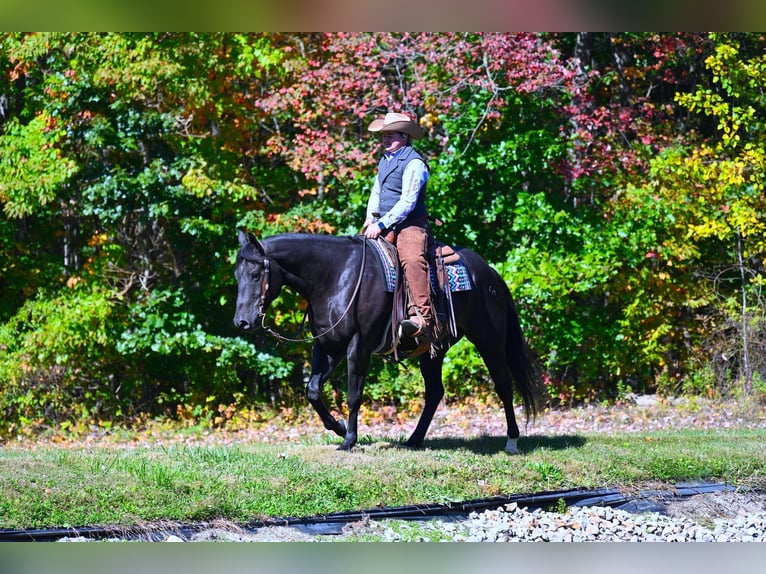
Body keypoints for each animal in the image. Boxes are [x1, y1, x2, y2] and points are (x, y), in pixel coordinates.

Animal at [237, 231, 544, 454]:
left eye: (255, 275)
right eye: (237, 276)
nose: (241, 322)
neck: (336, 276)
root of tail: (490, 273)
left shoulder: (358, 345)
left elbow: (354, 394)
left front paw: (349, 440)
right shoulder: (327, 345)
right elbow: (312, 390)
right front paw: (337, 427)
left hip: (488, 340)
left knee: (503, 385)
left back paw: (512, 441)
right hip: (432, 350)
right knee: (435, 391)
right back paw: (414, 440)